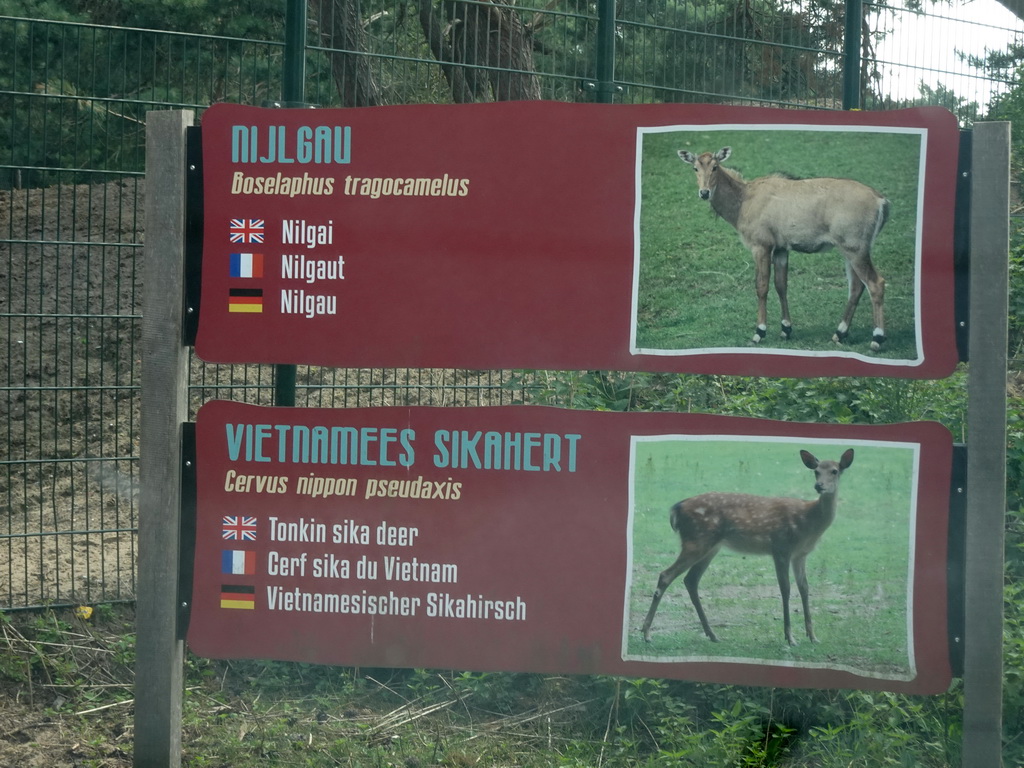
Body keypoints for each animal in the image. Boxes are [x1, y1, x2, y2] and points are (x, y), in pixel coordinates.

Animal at [638, 448, 856, 647]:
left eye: (835, 470)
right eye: (816, 471)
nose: (819, 486)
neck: (809, 523)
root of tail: (676, 509)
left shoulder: (800, 554)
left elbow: (804, 588)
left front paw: (812, 636)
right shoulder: (781, 547)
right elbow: (785, 589)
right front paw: (790, 638)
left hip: (710, 546)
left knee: (691, 580)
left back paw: (712, 634)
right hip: (696, 540)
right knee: (666, 575)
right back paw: (647, 634)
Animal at [675, 148, 884, 352]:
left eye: (715, 167)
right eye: (695, 168)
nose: (704, 192)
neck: (742, 202)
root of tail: (882, 201)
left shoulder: (761, 245)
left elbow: (761, 286)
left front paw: (759, 332)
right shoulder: (782, 248)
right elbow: (781, 285)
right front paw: (786, 329)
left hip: (855, 248)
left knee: (876, 283)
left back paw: (877, 339)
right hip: (850, 250)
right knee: (856, 287)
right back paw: (839, 334)